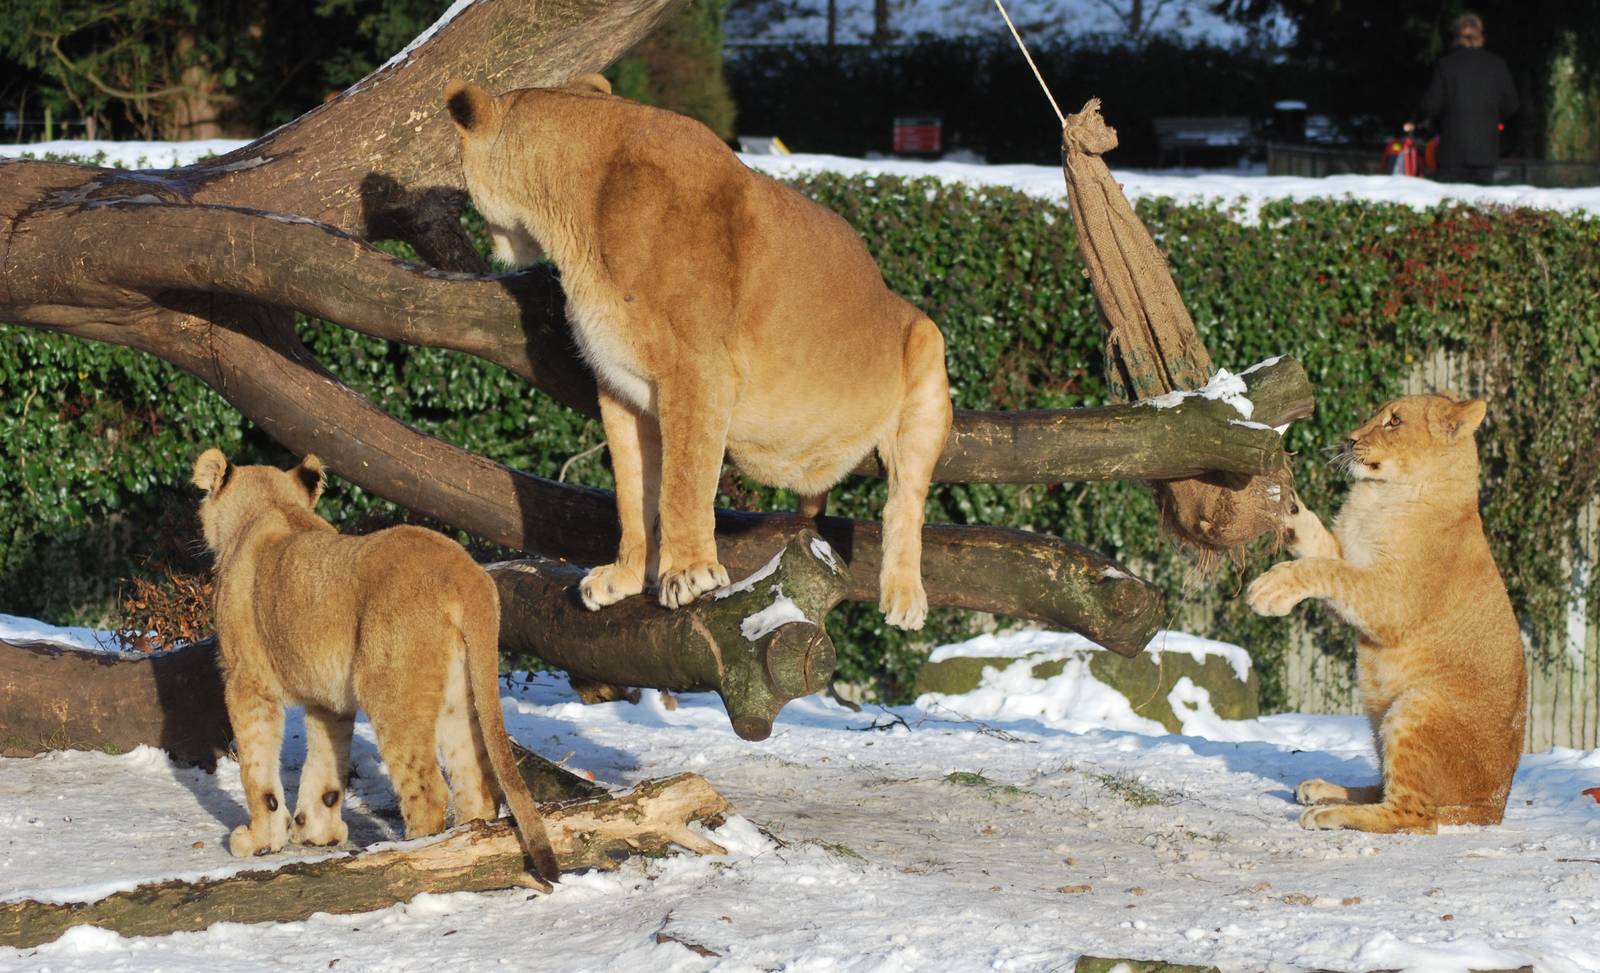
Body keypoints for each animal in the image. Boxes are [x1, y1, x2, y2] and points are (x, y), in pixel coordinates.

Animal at [192, 448, 560, 882]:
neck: (270, 505)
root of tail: (465, 573)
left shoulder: (247, 681)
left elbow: (257, 768)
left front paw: (259, 841)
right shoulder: (328, 697)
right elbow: (326, 766)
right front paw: (317, 833)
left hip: (389, 689)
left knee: (428, 791)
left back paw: (413, 853)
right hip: (460, 693)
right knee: (476, 782)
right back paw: (469, 850)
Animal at [444, 74, 953, 630]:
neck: (576, 217)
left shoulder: (698, 371)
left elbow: (683, 483)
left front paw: (688, 575)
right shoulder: (619, 389)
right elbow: (632, 490)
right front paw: (626, 577)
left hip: (927, 349)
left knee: (906, 502)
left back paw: (905, 596)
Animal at [1246, 395, 1526, 833]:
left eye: (1394, 422)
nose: (1349, 438)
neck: (1379, 495)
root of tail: (1493, 809)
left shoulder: (1392, 602)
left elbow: (1326, 570)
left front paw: (1271, 589)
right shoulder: (1350, 558)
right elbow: (1318, 546)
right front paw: (1282, 501)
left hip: (1415, 706)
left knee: (1415, 814)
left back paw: (1328, 812)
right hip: (1378, 720)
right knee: (1384, 789)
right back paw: (1321, 790)